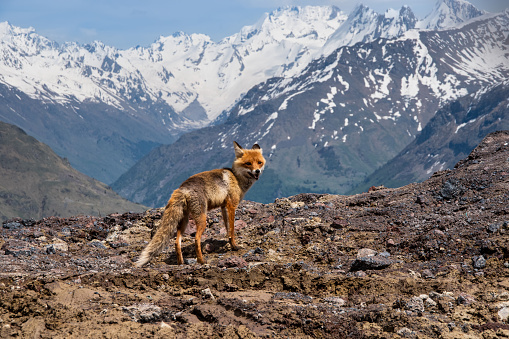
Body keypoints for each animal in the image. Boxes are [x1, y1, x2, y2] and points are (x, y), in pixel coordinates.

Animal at [135, 142, 266, 266]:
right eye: (248, 163)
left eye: (259, 163)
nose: (257, 171)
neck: (236, 178)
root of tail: (182, 187)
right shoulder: (232, 205)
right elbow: (232, 230)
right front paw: (234, 246)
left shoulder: (224, 207)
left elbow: (227, 227)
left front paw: (229, 243)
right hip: (202, 219)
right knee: (196, 239)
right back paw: (201, 261)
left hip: (184, 221)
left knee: (177, 242)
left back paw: (181, 262)